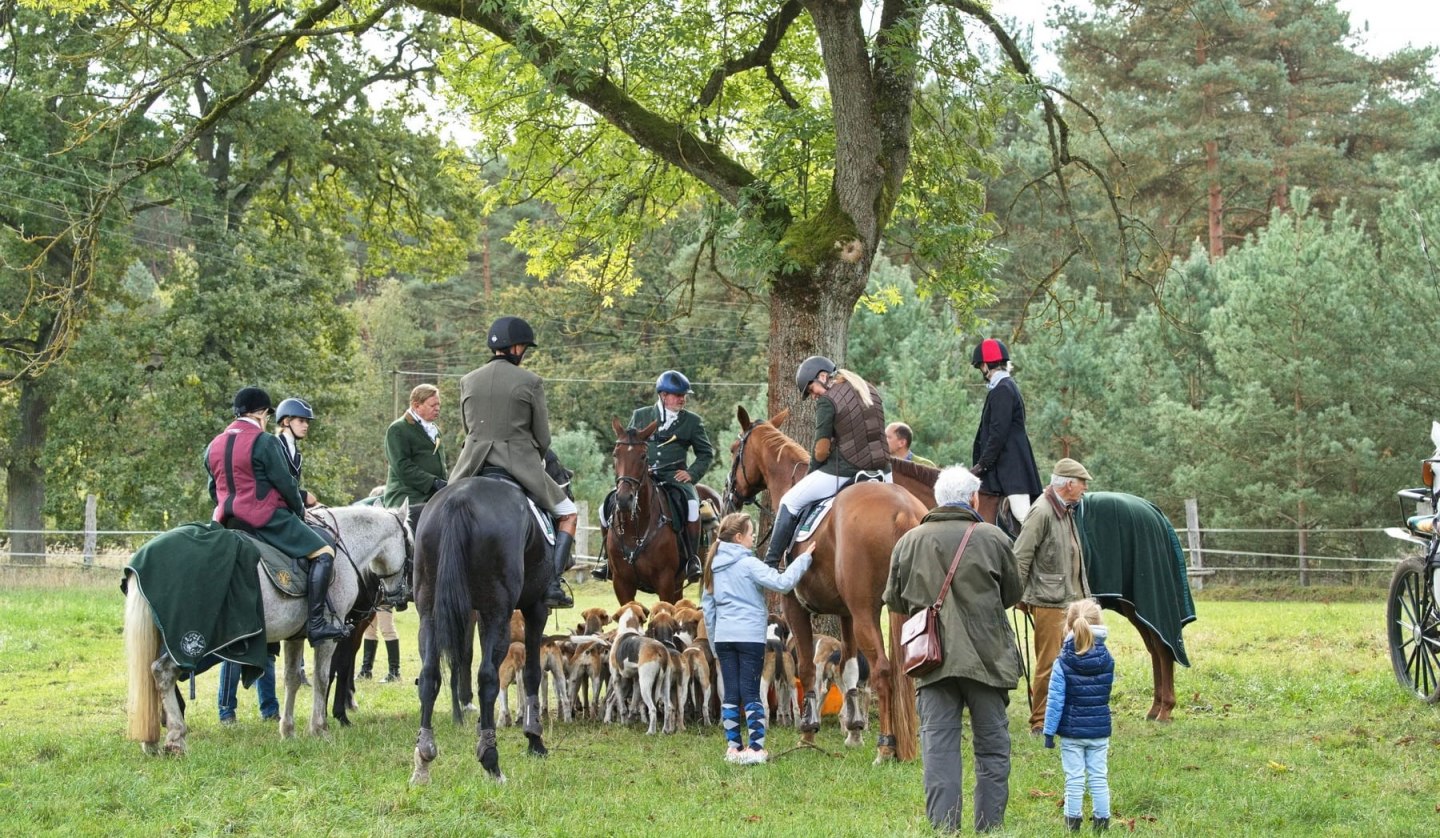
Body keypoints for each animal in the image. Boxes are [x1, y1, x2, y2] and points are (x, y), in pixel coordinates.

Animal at [123, 503, 411, 760]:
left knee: (152, 676)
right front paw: (320, 729)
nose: (400, 597)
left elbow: (292, 679)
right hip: (191, 642)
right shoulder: (330, 635)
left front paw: (288, 731)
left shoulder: (295, 636)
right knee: (163, 672)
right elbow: (322, 678)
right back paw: (175, 738)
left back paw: (152, 740)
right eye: (410, 544)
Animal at [411, 480, 555, 789]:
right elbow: (532, 674)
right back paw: (492, 761)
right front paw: (534, 740)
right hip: (498, 613)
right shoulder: (536, 608)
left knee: (429, 676)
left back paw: (423, 759)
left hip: (429, 613)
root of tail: (459, 498)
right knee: (487, 677)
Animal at [604, 417, 725, 604]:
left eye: (643, 456)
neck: (636, 530)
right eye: (615, 455)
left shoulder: (665, 582)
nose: (624, 499)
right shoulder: (621, 583)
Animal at [720, 411, 921, 766]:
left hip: (867, 611)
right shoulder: (846, 615)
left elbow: (807, 669)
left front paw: (807, 731)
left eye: (734, 450)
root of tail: (904, 510)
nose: (728, 495)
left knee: (884, 671)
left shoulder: (795, 607)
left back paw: (885, 746)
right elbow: (849, 670)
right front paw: (854, 731)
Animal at [887, 457, 1192, 725]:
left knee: (1162, 649)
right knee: (1157, 648)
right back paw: (1156, 708)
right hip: (1134, 607)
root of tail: (1153, 510)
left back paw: (1164, 710)